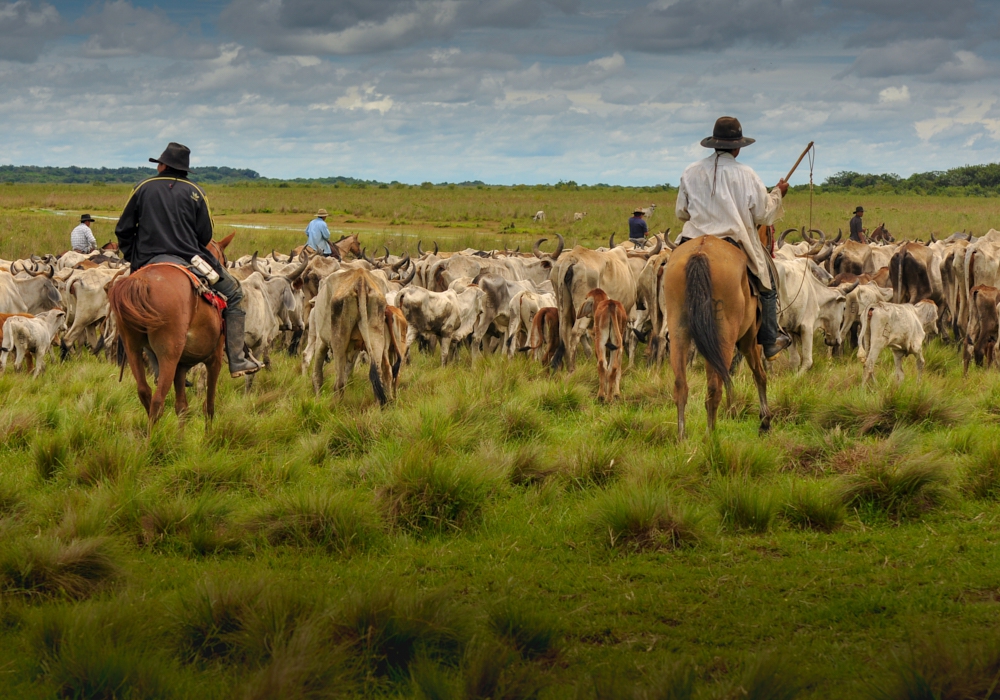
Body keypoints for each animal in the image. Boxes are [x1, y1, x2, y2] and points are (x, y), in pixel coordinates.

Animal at [109, 234, 234, 426]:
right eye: (225, 261)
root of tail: (143, 282)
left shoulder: (181, 366)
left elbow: (182, 407)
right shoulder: (215, 358)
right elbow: (209, 405)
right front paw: (209, 432)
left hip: (132, 348)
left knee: (144, 391)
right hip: (168, 355)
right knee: (158, 400)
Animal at [664, 238, 772, 440]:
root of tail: (700, 252)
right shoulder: (749, 339)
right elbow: (759, 374)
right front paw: (765, 421)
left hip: (678, 332)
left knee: (681, 384)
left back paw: (682, 437)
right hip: (725, 338)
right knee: (715, 387)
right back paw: (711, 436)